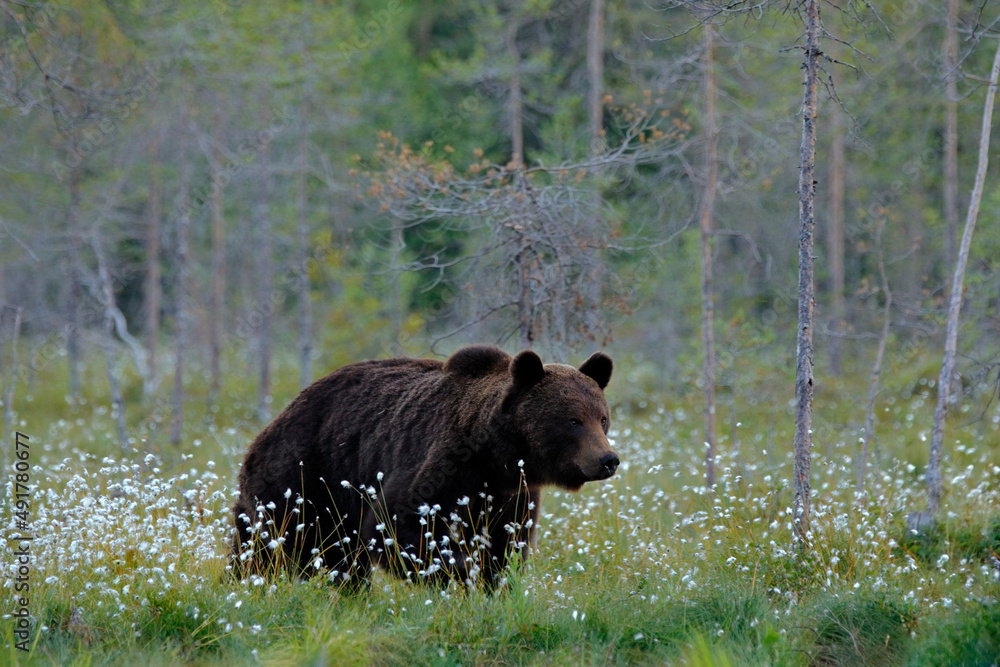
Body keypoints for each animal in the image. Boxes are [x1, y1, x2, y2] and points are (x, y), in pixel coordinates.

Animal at [232, 348, 616, 588]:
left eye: (602, 418)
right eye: (572, 420)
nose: (608, 459)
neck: (496, 457)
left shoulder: (512, 494)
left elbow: (505, 545)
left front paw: (491, 582)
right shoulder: (443, 464)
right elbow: (396, 525)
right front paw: (459, 571)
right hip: (303, 481)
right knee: (282, 548)